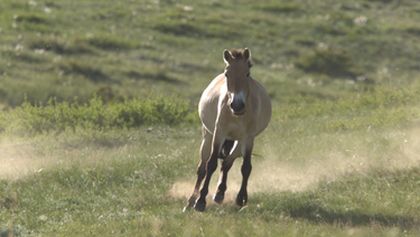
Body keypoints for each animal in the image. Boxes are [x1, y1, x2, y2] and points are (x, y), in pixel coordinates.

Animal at [184, 47, 272, 211]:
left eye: (247, 74)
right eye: (227, 74)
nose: (237, 105)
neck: (236, 115)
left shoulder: (248, 138)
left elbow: (246, 167)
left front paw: (241, 198)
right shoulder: (219, 134)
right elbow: (211, 164)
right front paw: (201, 201)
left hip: (238, 143)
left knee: (227, 163)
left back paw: (219, 194)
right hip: (208, 137)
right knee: (202, 168)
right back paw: (191, 200)